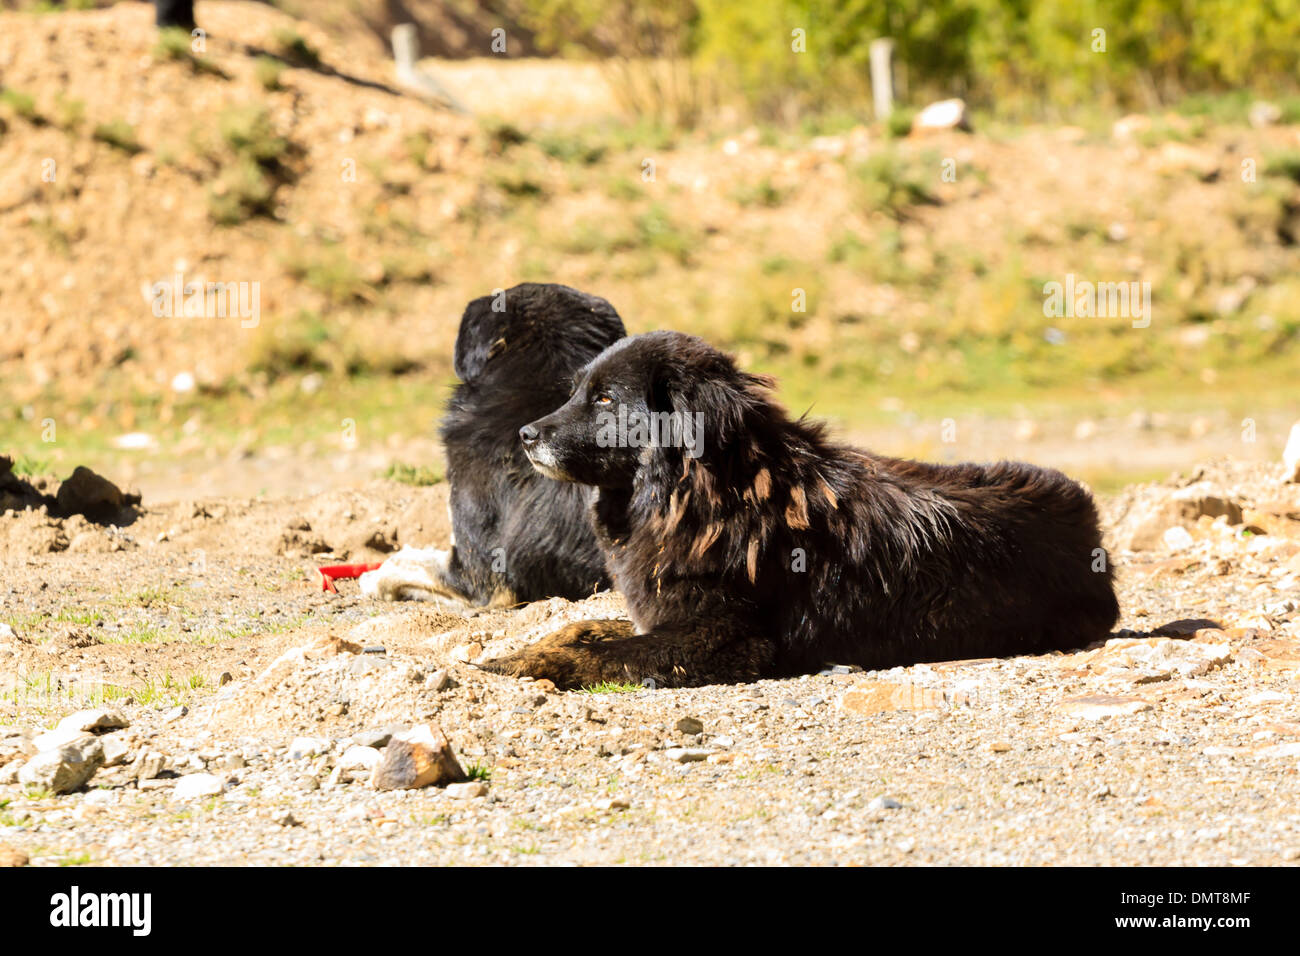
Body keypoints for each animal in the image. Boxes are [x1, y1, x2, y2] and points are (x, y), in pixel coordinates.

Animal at [483, 330, 1123, 686]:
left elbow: (605, 652)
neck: (700, 496)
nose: (525, 434)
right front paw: (518, 651)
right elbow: (580, 628)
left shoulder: (728, 642)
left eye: (606, 399)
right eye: (576, 391)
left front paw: (523, 666)